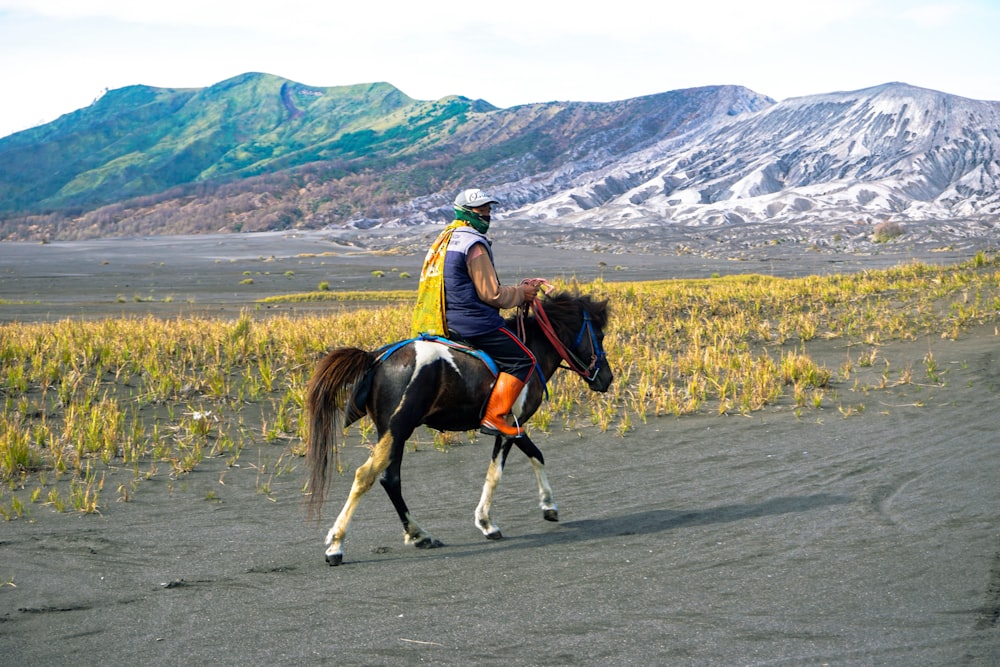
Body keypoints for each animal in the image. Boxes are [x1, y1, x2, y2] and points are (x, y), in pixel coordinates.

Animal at [304, 292, 612, 564]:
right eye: (599, 336)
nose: (606, 378)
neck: (532, 347)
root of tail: (375, 359)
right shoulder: (509, 425)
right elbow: (500, 471)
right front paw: (489, 521)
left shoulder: (512, 427)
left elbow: (533, 455)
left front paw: (545, 506)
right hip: (396, 430)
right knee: (365, 476)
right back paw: (336, 545)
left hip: (393, 433)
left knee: (390, 479)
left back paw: (419, 534)